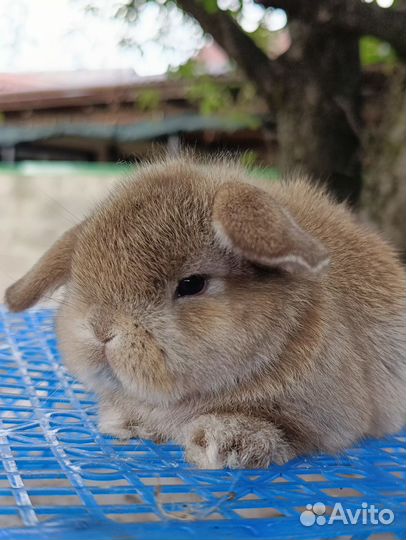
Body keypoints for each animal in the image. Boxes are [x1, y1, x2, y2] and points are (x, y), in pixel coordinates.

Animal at [3, 156, 406, 468]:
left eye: (192, 284)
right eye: (81, 269)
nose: (101, 328)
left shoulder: (324, 420)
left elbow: (287, 432)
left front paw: (222, 443)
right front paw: (125, 422)